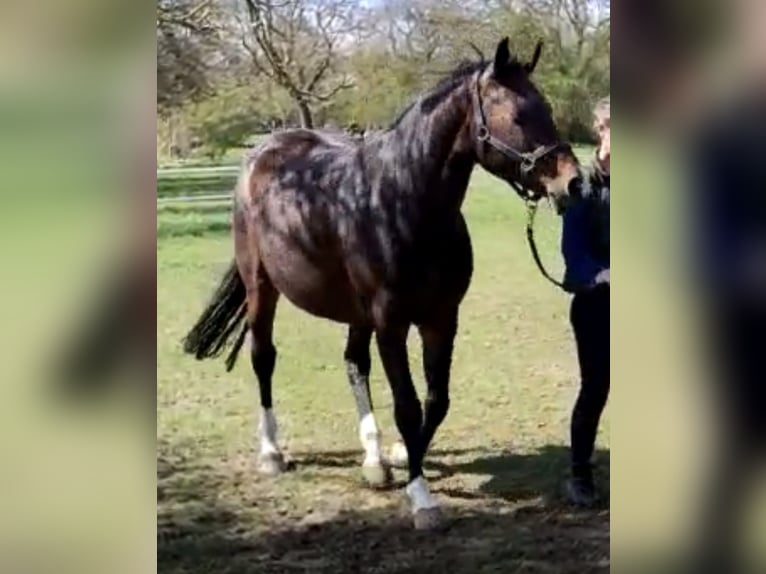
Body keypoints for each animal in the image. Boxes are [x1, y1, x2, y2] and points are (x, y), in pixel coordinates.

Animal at [182, 38, 583, 530]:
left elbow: (436, 402)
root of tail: (264, 152)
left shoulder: (440, 319)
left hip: (356, 312)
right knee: (264, 358)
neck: (399, 200)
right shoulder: (391, 322)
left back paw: (373, 459)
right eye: (520, 115)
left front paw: (400, 458)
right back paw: (272, 452)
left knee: (354, 364)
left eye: (547, 108)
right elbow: (408, 406)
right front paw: (422, 498)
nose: (574, 182)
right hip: (263, 288)